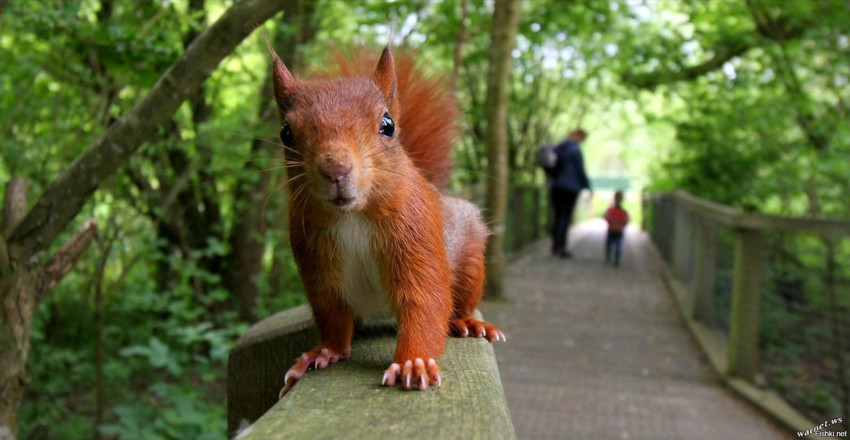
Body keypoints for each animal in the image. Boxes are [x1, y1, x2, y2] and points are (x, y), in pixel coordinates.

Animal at [268, 43, 500, 398]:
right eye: (286, 133)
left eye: (387, 125)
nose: (335, 169)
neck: (352, 219)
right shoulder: (319, 272)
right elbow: (332, 317)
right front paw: (323, 352)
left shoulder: (417, 239)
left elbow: (426, 301)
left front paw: (413, 362)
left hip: (471, 262)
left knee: (460, 301)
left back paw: (467, 322)